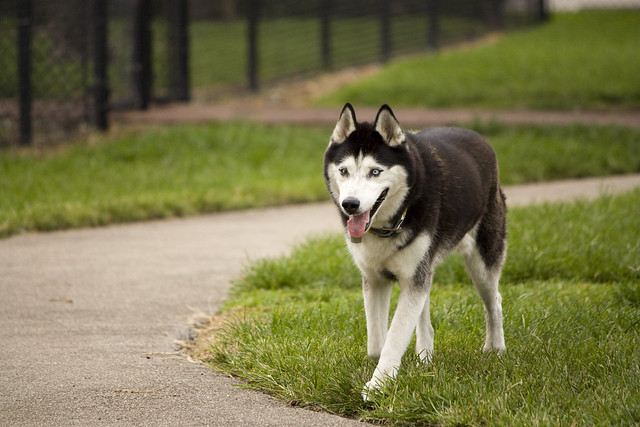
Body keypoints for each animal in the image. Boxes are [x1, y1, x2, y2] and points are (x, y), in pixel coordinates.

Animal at [322, 104, 508, 402]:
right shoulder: (375, 279)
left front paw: (378, 385)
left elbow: (396, 335)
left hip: (482, 262)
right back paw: (425, 356)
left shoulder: (413, 279)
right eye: (344, 170)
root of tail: (478, 137)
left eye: (375, 172)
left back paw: (496, 349)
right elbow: (377, 343)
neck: (389, 224)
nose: (350, 204)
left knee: (495, 302)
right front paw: (385, 369)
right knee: (425, 316)